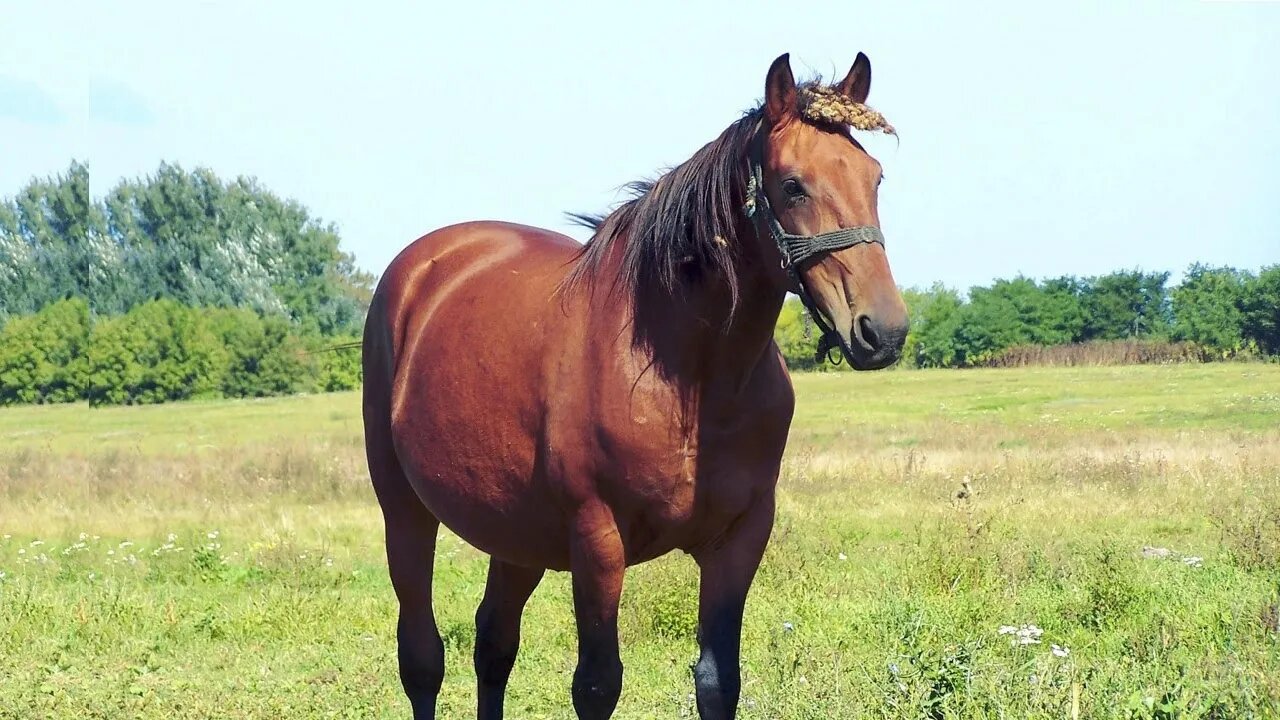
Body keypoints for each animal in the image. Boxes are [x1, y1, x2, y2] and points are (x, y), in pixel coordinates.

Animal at [362, 51, 909, 719]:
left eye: (875, 177)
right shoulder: (597, 542)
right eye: (792, 185)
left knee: (493, 643)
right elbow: (597, 685)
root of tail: (422, 267)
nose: (882, 330)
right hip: (404, 512)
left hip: (514, 531)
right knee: (422, 658)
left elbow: (718, 682)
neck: (691, 384)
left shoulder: (740, 540)